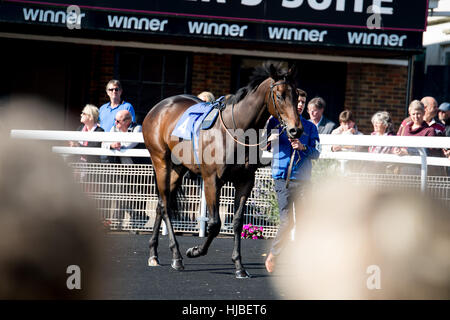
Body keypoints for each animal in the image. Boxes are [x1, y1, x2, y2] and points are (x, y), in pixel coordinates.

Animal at [142, 62, 302, 278]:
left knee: (160, 204)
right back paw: (177, 257)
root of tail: (158, 108)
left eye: (296, 95)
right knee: (165, 205)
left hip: (177, 168)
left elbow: (237, 222)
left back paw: (154, 254)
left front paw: (239, 266)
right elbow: (215, 223)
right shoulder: (211, 180)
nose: (296, 130)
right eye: (279, 95)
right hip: (161, 161)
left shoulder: (245, 181)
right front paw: (195, 251)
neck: (238, 130)